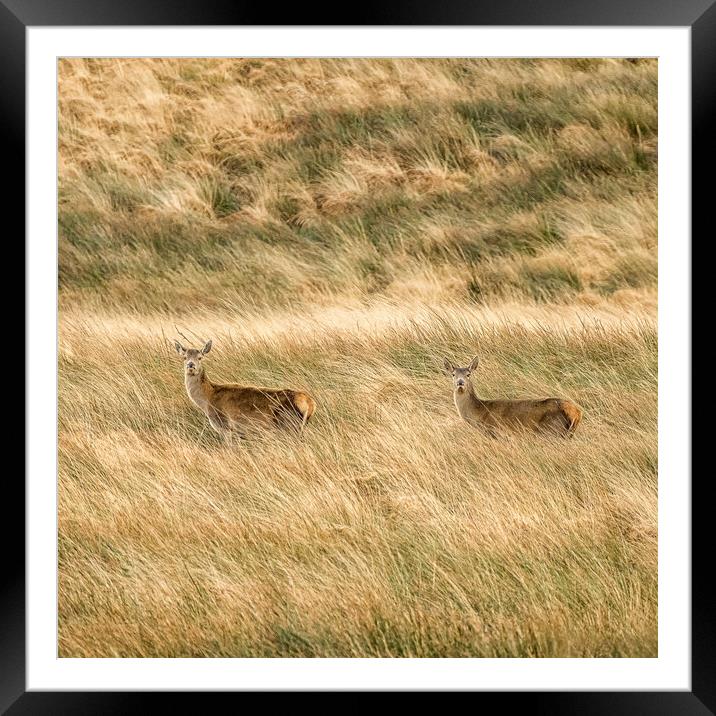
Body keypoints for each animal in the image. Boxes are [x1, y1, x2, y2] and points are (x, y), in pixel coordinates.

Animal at [174, 338, 316, 440]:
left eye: (200, 357)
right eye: (184, 357)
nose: (190, 365)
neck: (208, 399)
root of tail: (310, 404)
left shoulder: (226, 426)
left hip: (288, 424)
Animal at [442, 356, 580, 440]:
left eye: (468, 374)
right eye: (453, 374)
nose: (460, 383)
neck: (478, 412)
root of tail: (576, 413)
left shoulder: (493, 431)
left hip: (551, 431)